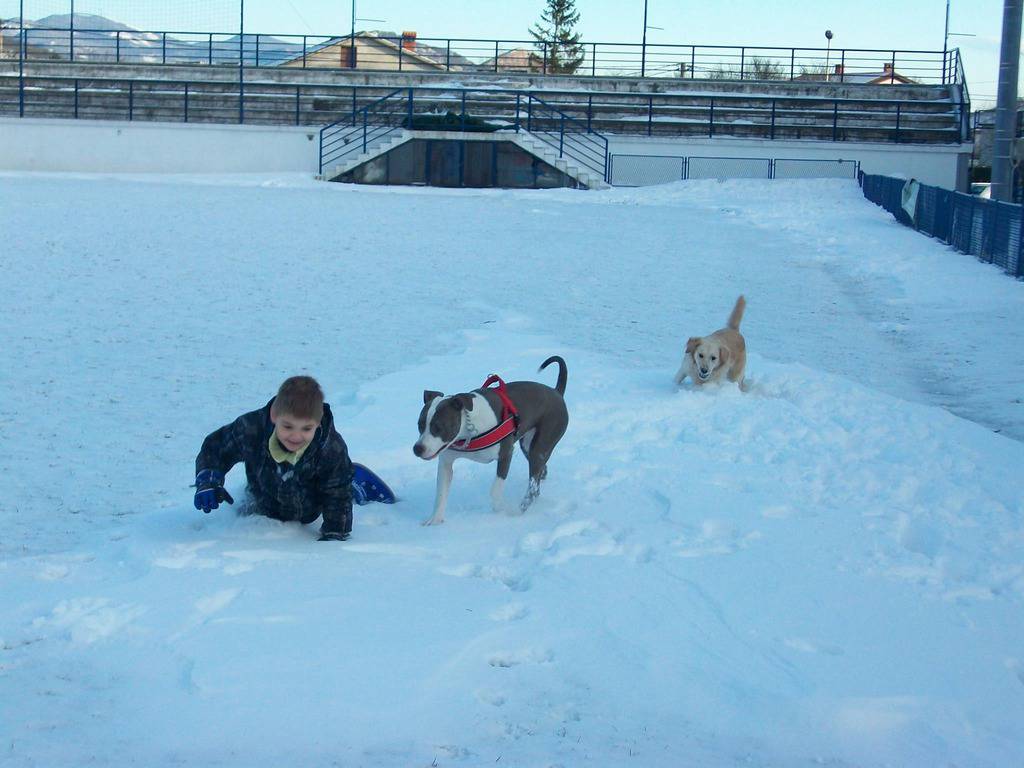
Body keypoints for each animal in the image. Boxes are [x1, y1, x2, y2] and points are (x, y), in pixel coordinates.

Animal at [411, 358, 569, 528]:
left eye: (439, 427)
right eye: (420, 425)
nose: (417, 448)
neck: (468, 432)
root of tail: (557, 392)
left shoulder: (506, 454)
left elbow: (495, 490)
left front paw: (501, 510)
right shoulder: (446, 462)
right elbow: (440, 494)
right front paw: (435, 520)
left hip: (540, 445)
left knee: (533, 486)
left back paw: (519, 510)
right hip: (528, 445)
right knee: (539, 473)